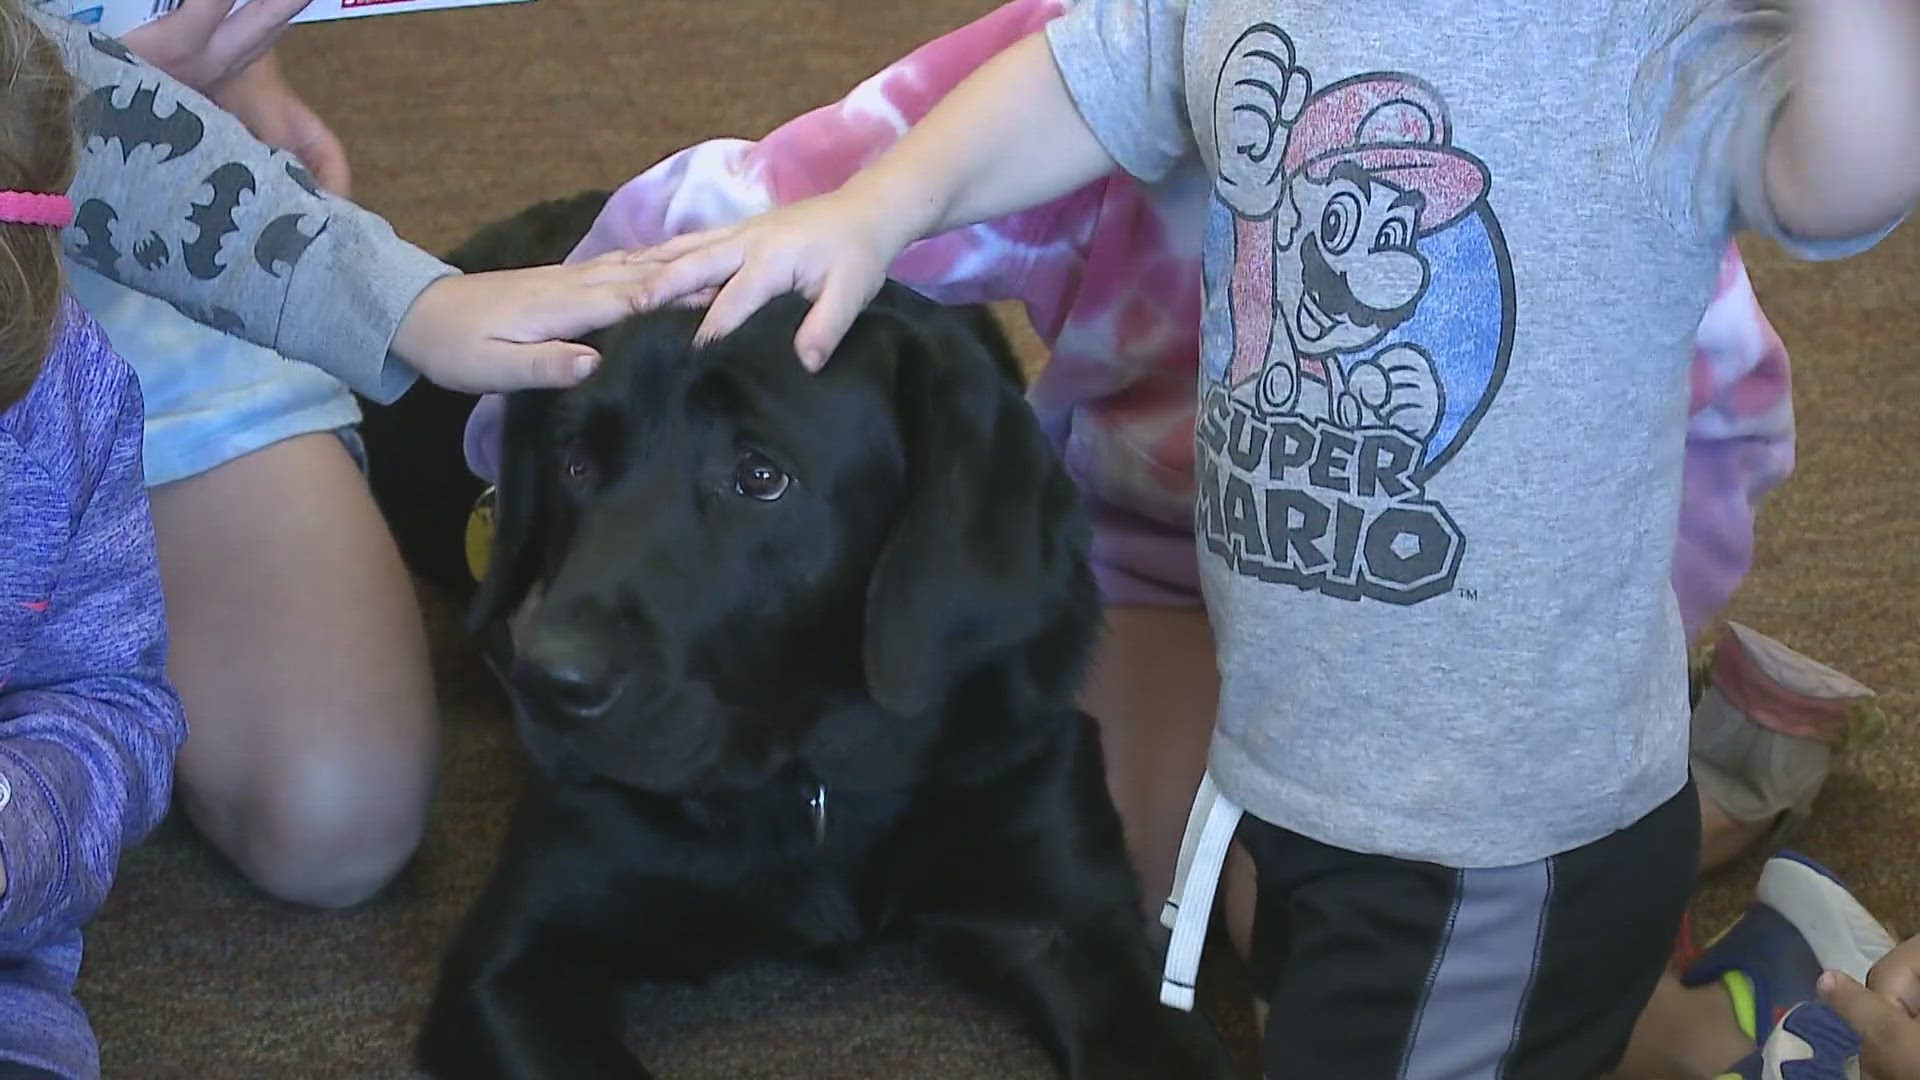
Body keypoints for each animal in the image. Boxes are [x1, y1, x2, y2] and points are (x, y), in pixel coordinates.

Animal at [412, 270, 1236, 1076]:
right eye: (576, 464)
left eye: (760, 476)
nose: (548, 685)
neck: (814, 776)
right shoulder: (513, 961)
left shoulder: (1071, 916)